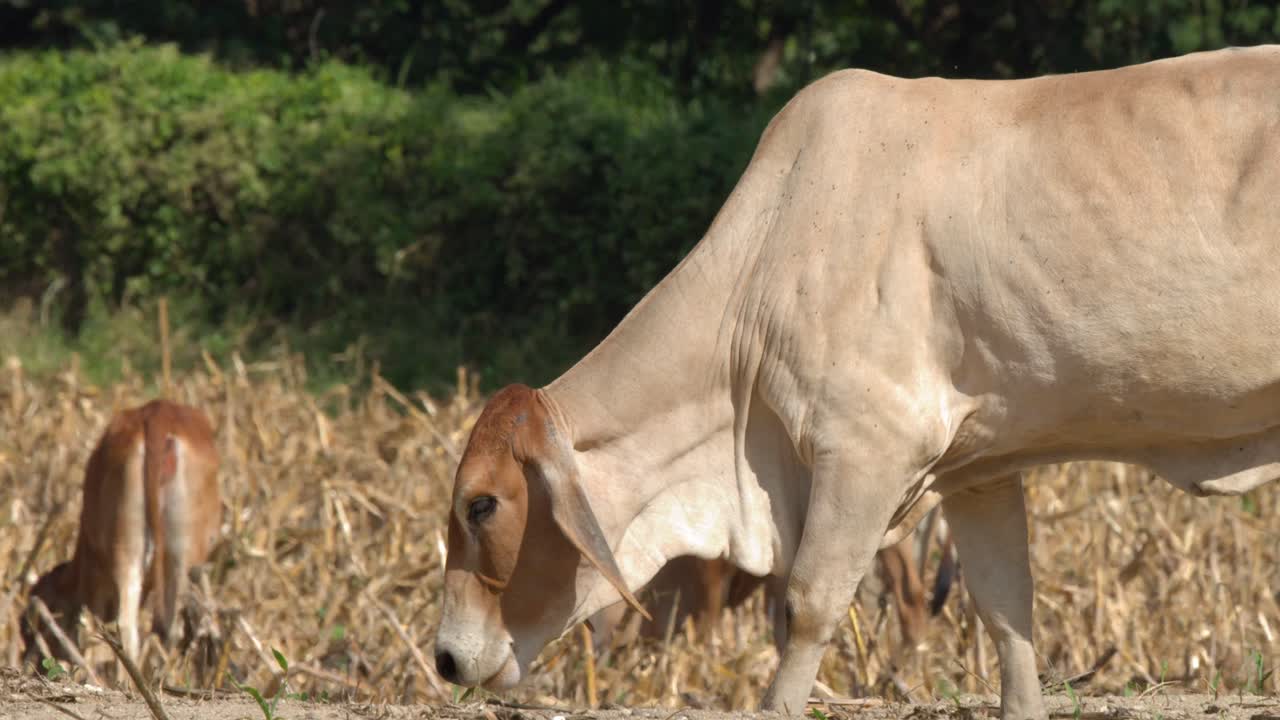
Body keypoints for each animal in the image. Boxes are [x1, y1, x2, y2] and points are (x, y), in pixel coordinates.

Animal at [21, 399, 222, 674]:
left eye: (31, 629)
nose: (33, 664)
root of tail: (158, 416)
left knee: (134, 628)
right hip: (166, 556)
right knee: (152, 628)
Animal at [433, 45, 1280, 720]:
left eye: (482, 504)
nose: (443, 658)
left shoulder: (867, 447)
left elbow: (806, 607)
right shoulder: (977, 466)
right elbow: (1007, 614)